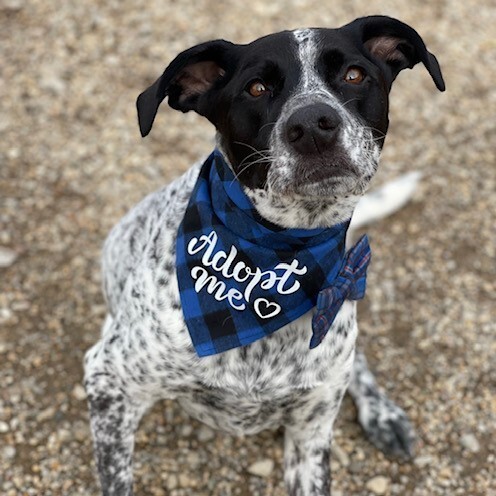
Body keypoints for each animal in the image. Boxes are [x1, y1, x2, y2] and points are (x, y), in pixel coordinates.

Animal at [83, 13, 444, 494]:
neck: (277, 255)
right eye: (256, 88)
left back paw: (381, 413)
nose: (313, 124)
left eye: (353, 75)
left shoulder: (311, 434)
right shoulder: (110, 382)